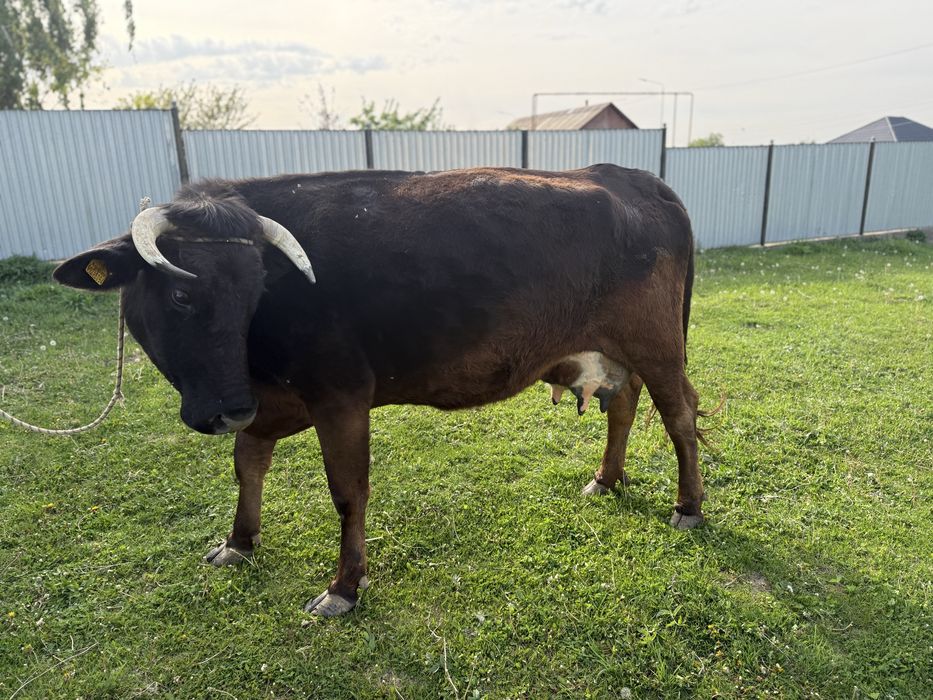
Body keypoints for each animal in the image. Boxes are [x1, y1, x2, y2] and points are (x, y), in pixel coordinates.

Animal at [53, 164, 708, 617]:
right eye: (182, 294)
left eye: (254, 290)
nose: (228, 409)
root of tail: (629, 176)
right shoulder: (265, 404)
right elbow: (248, 464)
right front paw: (239, 540)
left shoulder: (340, 396)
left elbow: (348, 493)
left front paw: (343, 587)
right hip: (620, 352)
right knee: (625, 404)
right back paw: (607, 478)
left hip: (657, 345)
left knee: (680, 415)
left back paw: (689, 507)